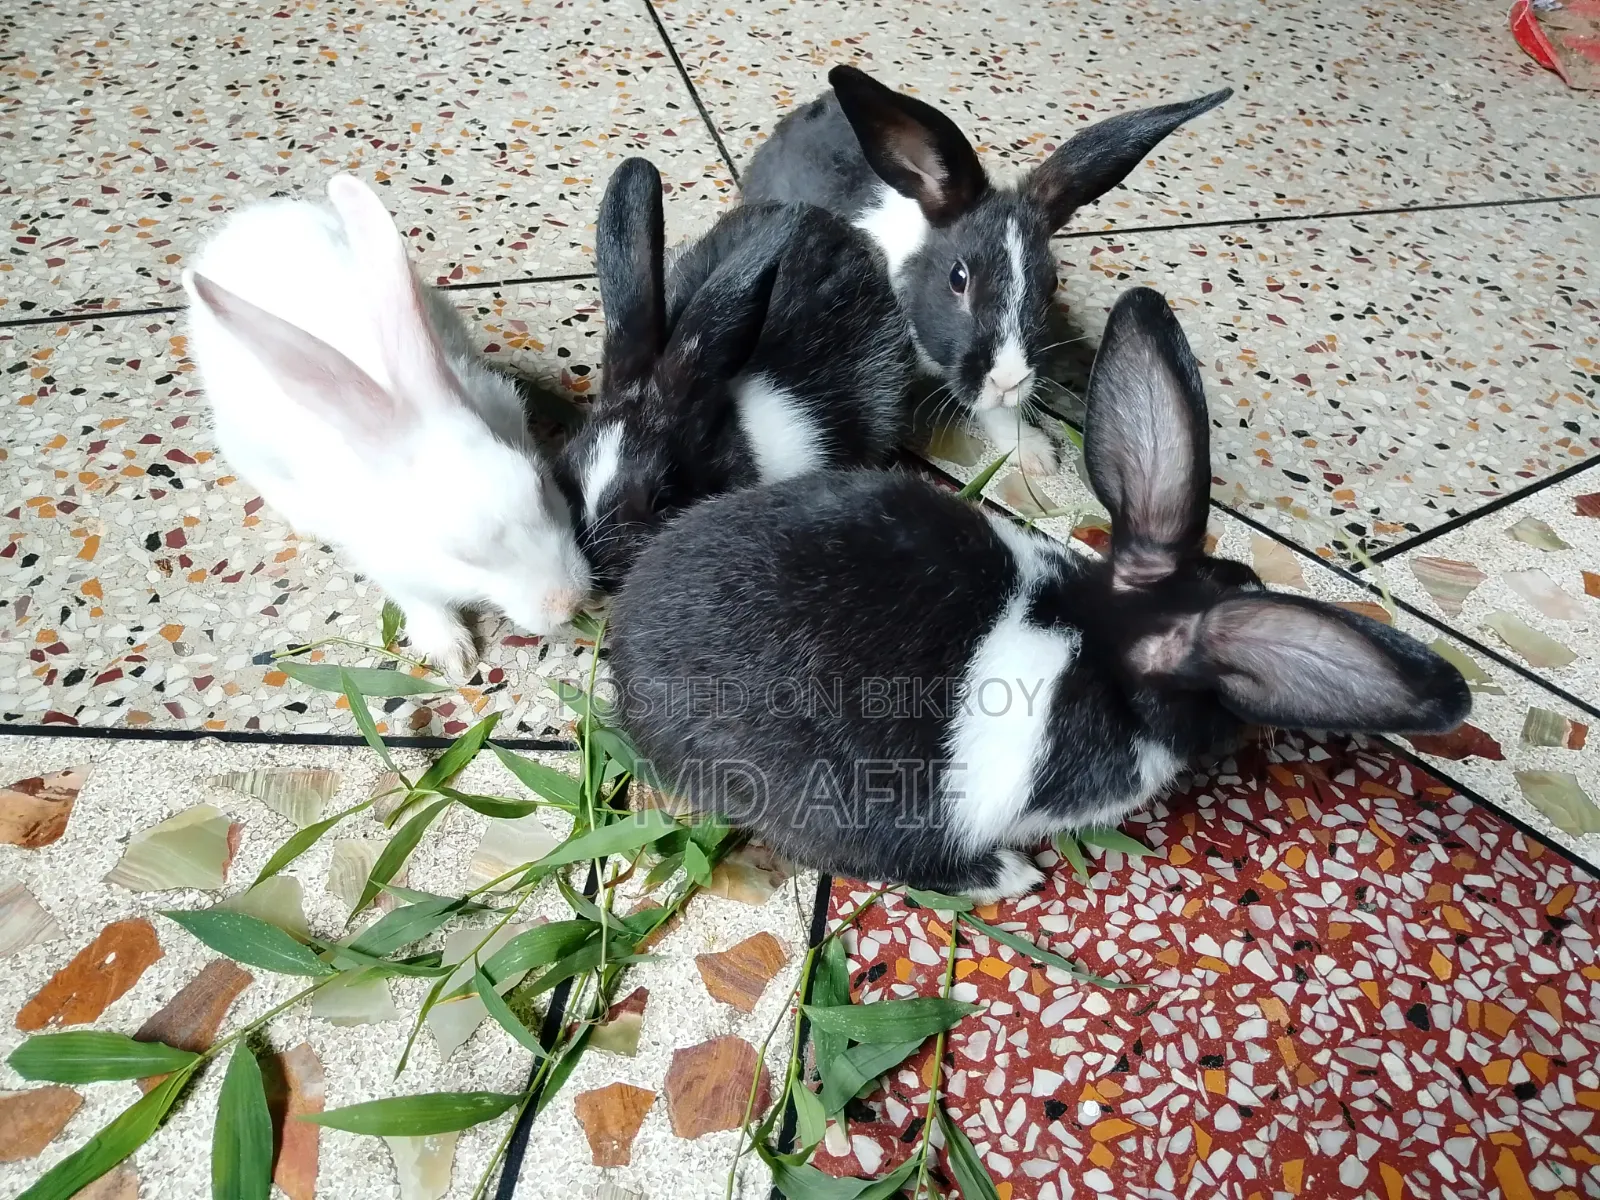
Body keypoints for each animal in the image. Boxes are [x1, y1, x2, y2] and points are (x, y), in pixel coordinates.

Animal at [182, 173, 590, 680]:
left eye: (542, 488)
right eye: (462, 556)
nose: (569, 604)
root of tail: (245, 221)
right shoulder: (387, 561)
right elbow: (420, 601)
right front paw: (453, 655)